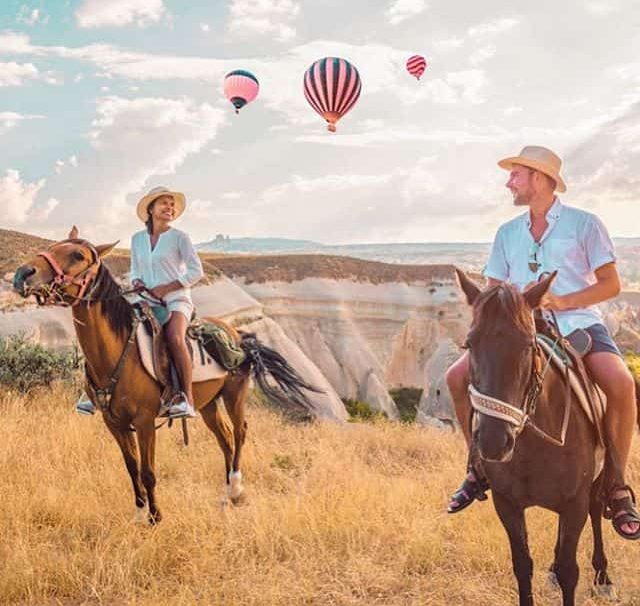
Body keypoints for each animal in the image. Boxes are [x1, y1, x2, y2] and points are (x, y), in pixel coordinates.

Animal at [11, 230, 318, 524]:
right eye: (52, 247)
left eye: (77, 255)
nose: (22, 274)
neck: (116, 352)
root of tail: (238, 334)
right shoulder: (114, 423)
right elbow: (131, 468)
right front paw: (139, 514)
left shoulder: (144, 421)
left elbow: (148, 471)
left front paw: (156, 517)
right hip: (207, 404)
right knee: (225, 437)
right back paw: (225, 492)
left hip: (234, 394)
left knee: (240, 431)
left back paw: (236, 489)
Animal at [456, 270, 616, 606]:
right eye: (469, 343)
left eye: (528, 344)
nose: (493, 441)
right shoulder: (507, 503)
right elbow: (522, 565)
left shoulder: (575, 502)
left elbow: (570, 571)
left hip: (596, 484)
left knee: (597, 513)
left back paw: (603, 575)